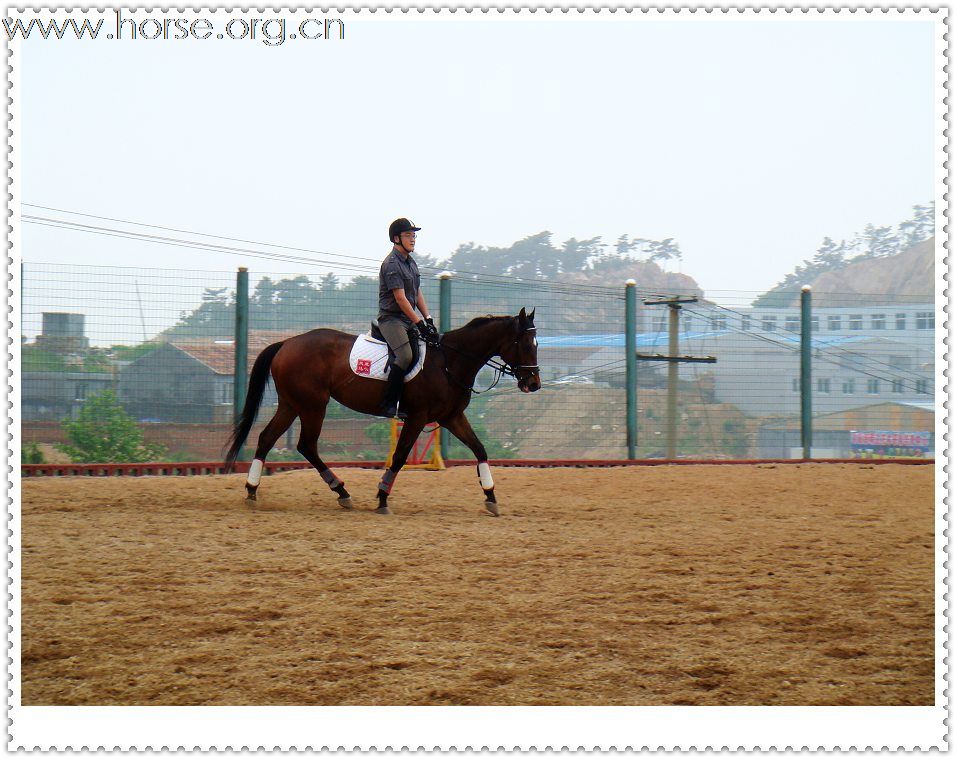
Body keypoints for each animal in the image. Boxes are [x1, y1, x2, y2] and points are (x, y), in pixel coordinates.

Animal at [221, 308, 540, 516]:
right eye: (525, 344)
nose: (533, 383)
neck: (449, 362)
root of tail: (287, 343)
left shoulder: (451, 417)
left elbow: (480, 449)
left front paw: (491, 496)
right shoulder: (418, 417)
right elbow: (399, 457)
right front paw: (383, 498)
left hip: (291, 404)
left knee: (267, 438)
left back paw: (252, 490)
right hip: (313, 405)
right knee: (306, 445)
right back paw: (342, 491)